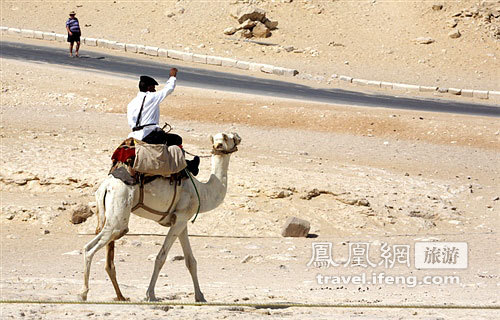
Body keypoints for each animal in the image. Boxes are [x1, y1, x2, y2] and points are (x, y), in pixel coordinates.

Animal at [78, 132, 242, 302]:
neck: (203, 191)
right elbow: (161, 257)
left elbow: (190, 260)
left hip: (106, 214)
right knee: (90, 248)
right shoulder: (180, 219)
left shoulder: (181, 221)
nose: (238, 137)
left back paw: (114, 295)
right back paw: (83, 293)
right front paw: (150, 294)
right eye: (228, 137)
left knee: (100, 250)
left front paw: (200, 297)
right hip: (118, 217)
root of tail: (106, 186)